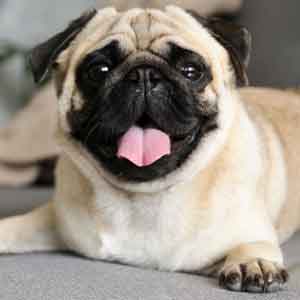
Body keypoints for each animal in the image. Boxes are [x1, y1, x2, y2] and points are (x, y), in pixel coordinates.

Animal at [0, 6, 300, 292]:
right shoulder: (54, 220)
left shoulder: (252, 231)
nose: (143, 74)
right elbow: (15, 226)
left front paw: (254, 263)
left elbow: (253, 244)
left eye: (191, 71)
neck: (144, 195)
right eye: (99, 71)